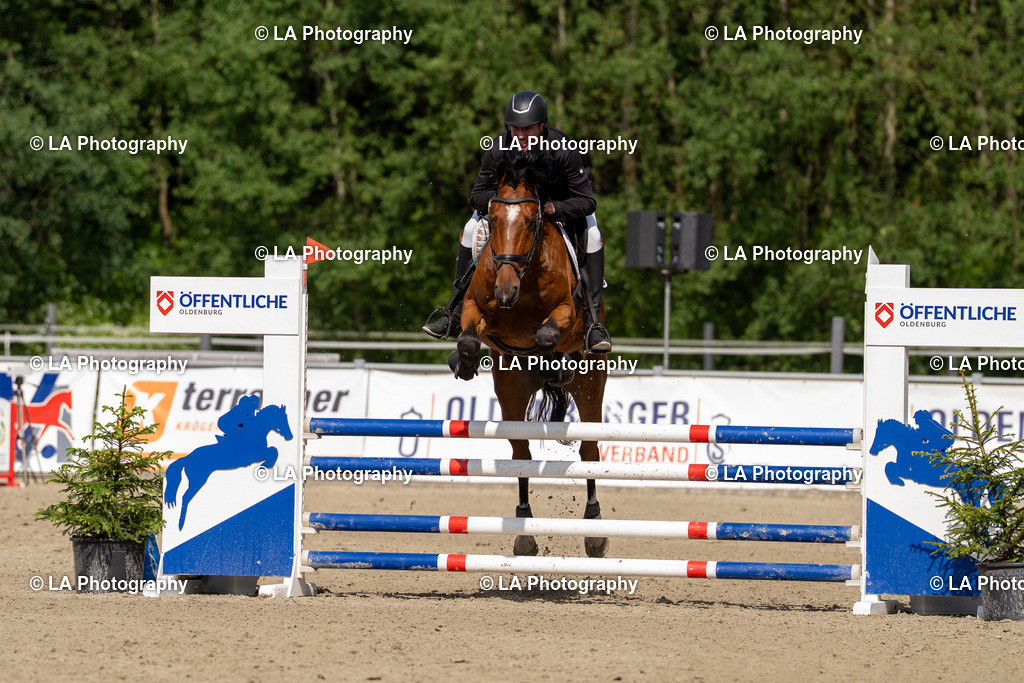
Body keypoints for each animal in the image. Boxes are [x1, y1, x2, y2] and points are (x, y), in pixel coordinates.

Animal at [164, 400, 293, 530]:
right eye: (282, 419)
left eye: (286, 418)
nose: (289, 436)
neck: (256, 430)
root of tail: (187, 458)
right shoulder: (255, 455)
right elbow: (273, 450)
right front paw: (264, 466)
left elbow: (273, 450)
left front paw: (265, 465)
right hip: (197, 480)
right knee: (185, 497)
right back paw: (181, 524)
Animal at [452, 150, 610, 558]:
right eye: (493, 220)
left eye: (532, 220)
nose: (505, 291)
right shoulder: (476, 310)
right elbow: (468, 337)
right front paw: (463, 361)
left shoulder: (567, 315)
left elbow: (547, 335)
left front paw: (557, 367)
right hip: (510, 390)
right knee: (520, 454)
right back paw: (525, 531)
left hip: (592, 385)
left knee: (589, 452)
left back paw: (594, 531)